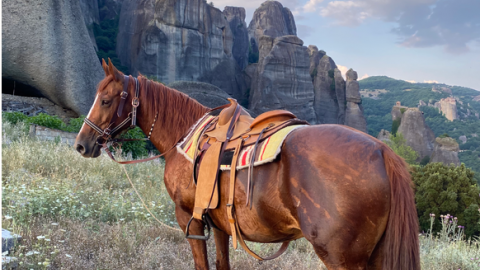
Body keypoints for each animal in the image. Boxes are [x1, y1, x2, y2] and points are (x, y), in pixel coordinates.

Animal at [75, 59, 420, 270]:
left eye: (105, 100)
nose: (82, 144)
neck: (183, 136)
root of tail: (383, 151)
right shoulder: (219, 225)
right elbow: (222, 263)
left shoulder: (189, 218)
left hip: (342, 257)